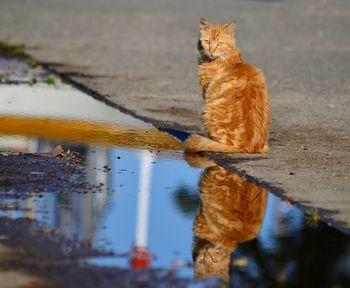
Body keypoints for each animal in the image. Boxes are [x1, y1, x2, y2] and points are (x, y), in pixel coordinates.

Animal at [185, 18, 270, 153]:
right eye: (207, 42)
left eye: (220, 44)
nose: (211, 51)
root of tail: (247, 147)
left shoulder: (206, 91)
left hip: (208, 111)